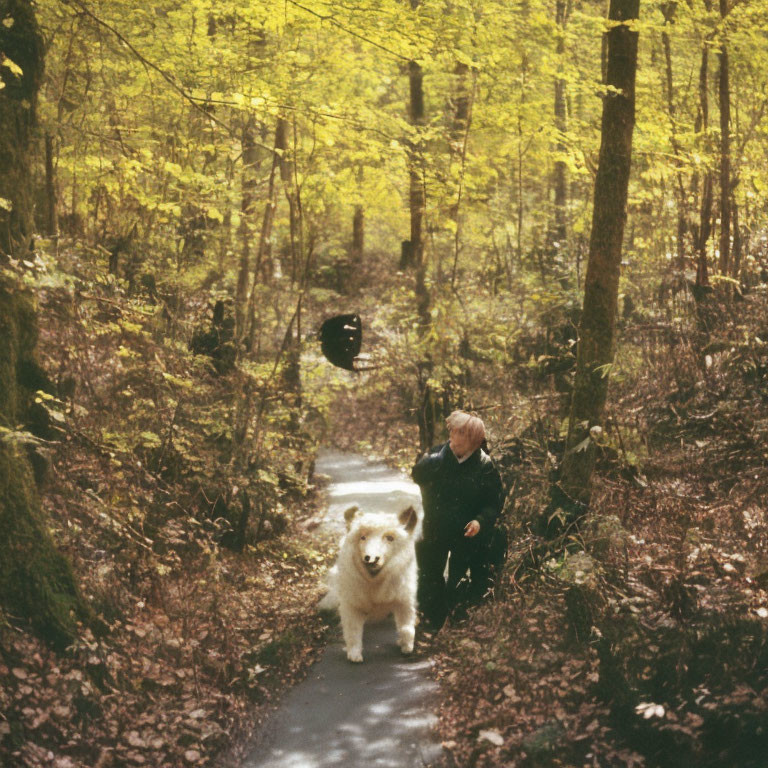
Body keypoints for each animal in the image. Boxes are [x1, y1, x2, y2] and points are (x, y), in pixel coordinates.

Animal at [318, 504, 416, 660]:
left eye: (389, 538)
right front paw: (354, 655)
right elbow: (352, 631)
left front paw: (406, 646)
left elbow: (406, 627)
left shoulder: (403, 600)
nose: (370, 558)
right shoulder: (351, 604)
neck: (374, 583)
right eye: (362, 537)